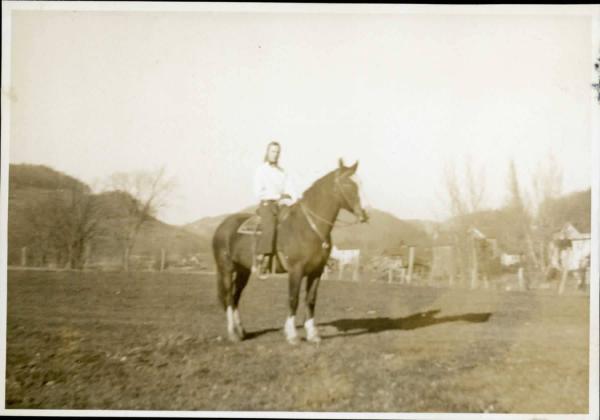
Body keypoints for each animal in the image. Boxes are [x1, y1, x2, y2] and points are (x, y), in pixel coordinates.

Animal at [213, 159, 368, 342]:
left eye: (361, 183)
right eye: (348, 184)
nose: (365, 214)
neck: (309, 227)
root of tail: (222, 226)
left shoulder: (317, 271)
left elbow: (311, 299)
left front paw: (312, 334)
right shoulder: (296, 270)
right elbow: (293, 298)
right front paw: (292, 334)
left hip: (244, 270)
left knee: (236, 296)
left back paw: (241, 331)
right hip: (226, 269)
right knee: (229, 297)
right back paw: (232, 333)